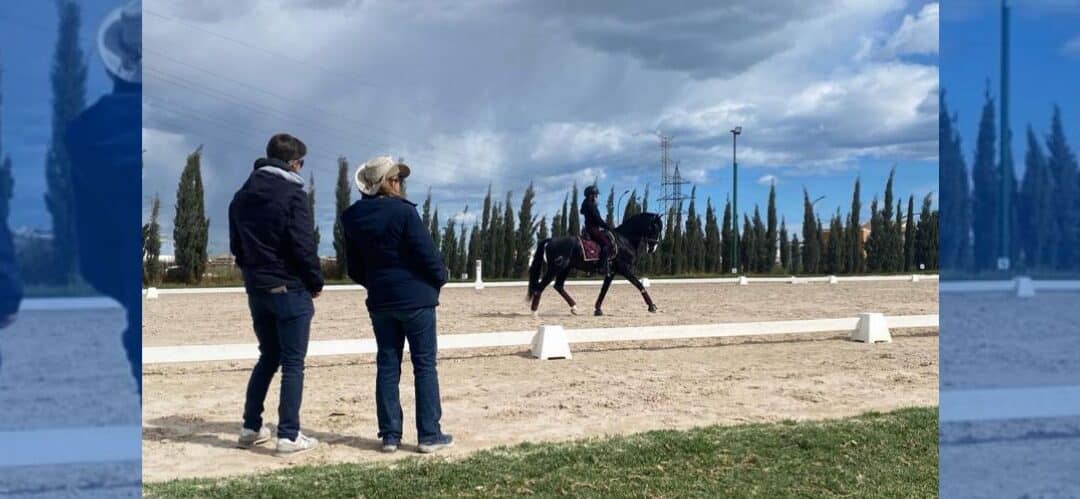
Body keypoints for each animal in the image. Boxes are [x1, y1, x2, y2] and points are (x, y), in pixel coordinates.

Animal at [527, 212, 663, 317]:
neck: (624, 240)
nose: (653, 248)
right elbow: (639, 284)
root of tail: (551, 240)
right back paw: (534, 312)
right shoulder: (624, 269)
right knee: (540, 286)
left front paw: (598, 309)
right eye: (655, 228)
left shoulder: (611, 272)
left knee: (558, 286)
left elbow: (604, 290)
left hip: (565, 268)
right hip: (556, 268)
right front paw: (652, 307)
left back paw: (574, 308)